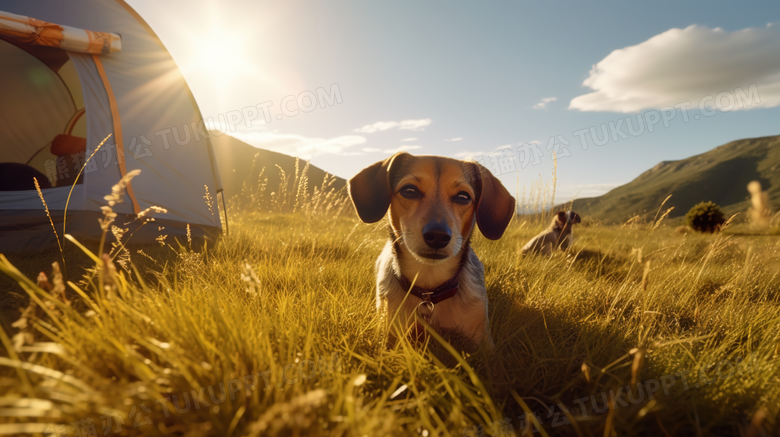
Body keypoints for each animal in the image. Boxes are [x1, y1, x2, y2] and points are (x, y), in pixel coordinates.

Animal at [350, 152, 516, 350]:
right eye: (409, 191)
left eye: (463, 197)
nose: (437, 235)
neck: (429, 291)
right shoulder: (389, 333)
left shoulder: (483, 341)